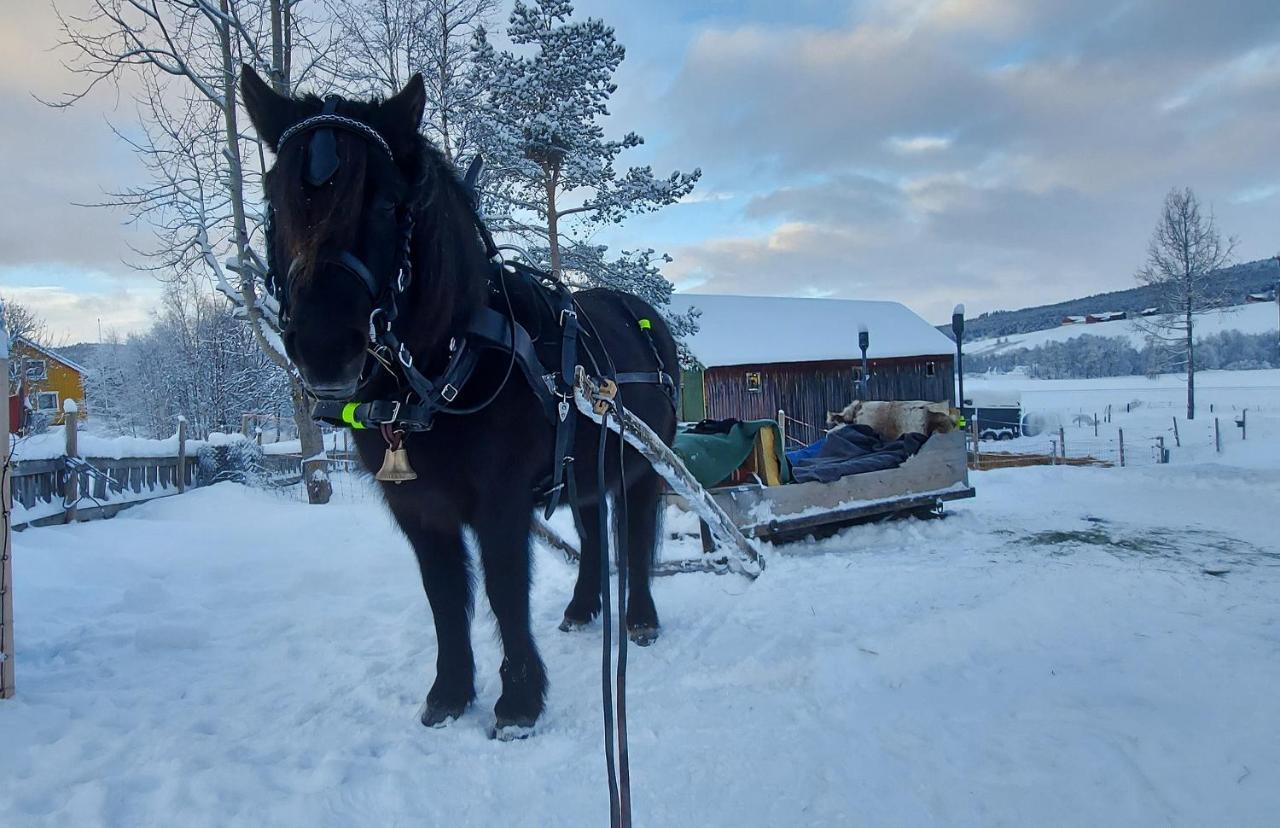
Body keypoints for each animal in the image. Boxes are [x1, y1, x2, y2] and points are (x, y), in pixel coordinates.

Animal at [240, 68, 680, 737]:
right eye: (274, 200)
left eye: (387, 204)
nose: (323, 349)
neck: (447, 367)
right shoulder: (419, 508)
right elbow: (445, 597)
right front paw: (449, 693)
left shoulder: (500, 502)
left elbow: (503, 590)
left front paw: (519, 702)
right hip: (586, 469)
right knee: (593, 533)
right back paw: (583, 609)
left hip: (644, 469)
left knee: (633, 538)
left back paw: (641, 619)